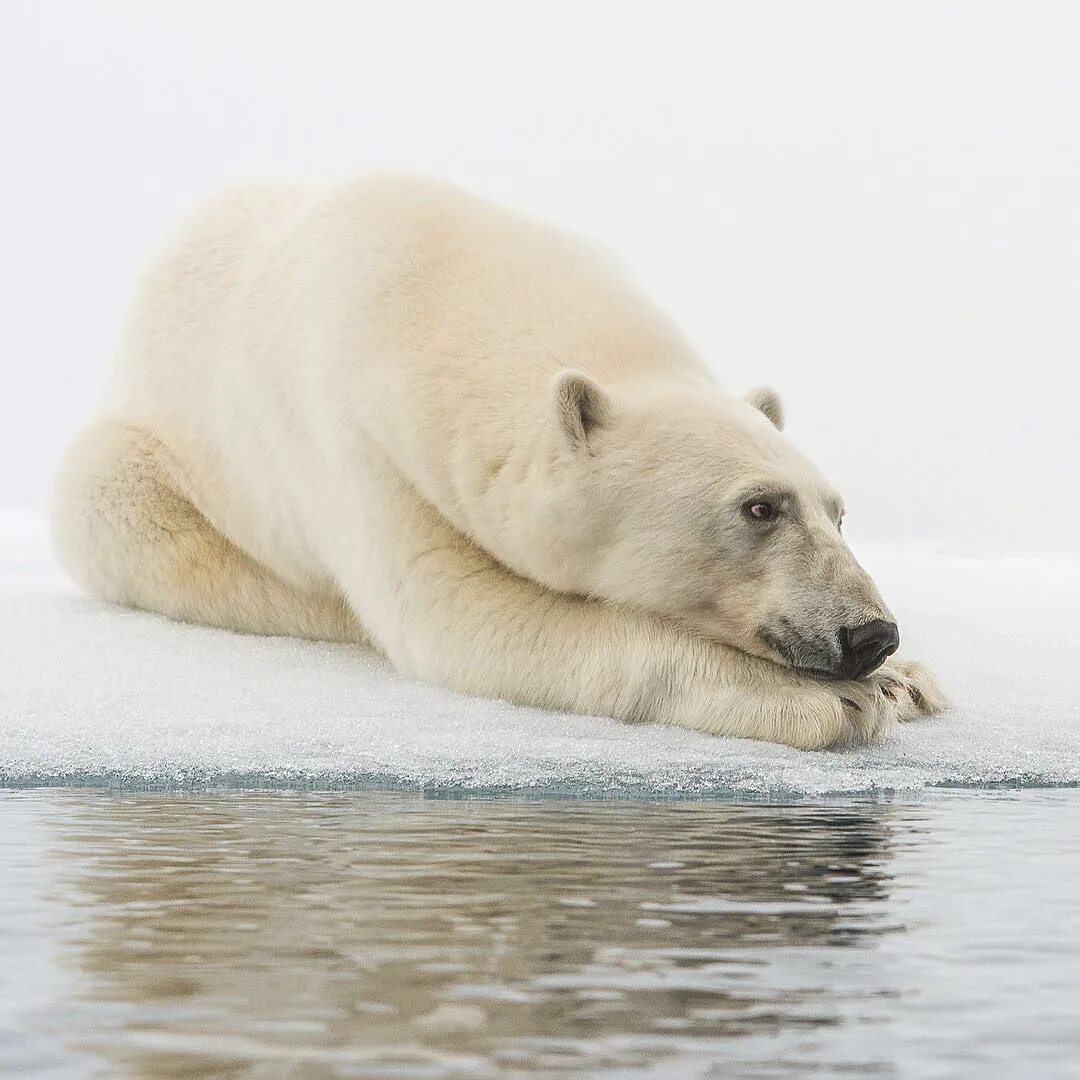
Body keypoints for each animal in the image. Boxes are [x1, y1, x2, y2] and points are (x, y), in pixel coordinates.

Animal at [52, 179, 946, 751]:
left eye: (838, 511)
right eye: (759, 507)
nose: (872, 633)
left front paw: (912, 680)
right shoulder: (355, 434)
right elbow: (462, 614)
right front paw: (838, 699)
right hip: (145, 462)